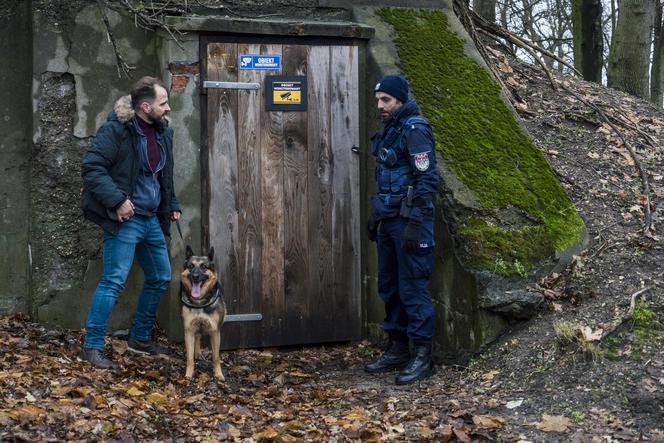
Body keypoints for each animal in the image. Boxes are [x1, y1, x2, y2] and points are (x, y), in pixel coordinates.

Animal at [180, 246, 227, 382]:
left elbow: (216, 357)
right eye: (190, 266)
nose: (195, 276)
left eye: (204, 267)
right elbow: (189, 357)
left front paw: (218, 374)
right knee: (197, 338)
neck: (199, 301)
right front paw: (189, 374)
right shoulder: (189, 330)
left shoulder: (215, 332)